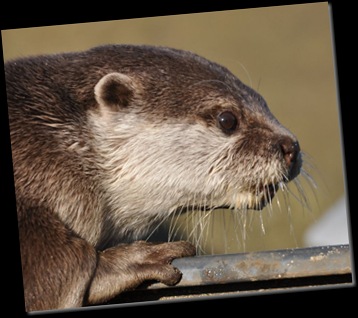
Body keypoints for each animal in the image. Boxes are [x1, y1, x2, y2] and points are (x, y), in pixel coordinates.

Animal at [4, 44, 302, 310]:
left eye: (264, 103)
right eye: (227, 119)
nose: (292, 147)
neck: (56, 145)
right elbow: (59, 265)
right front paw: (138, 258)